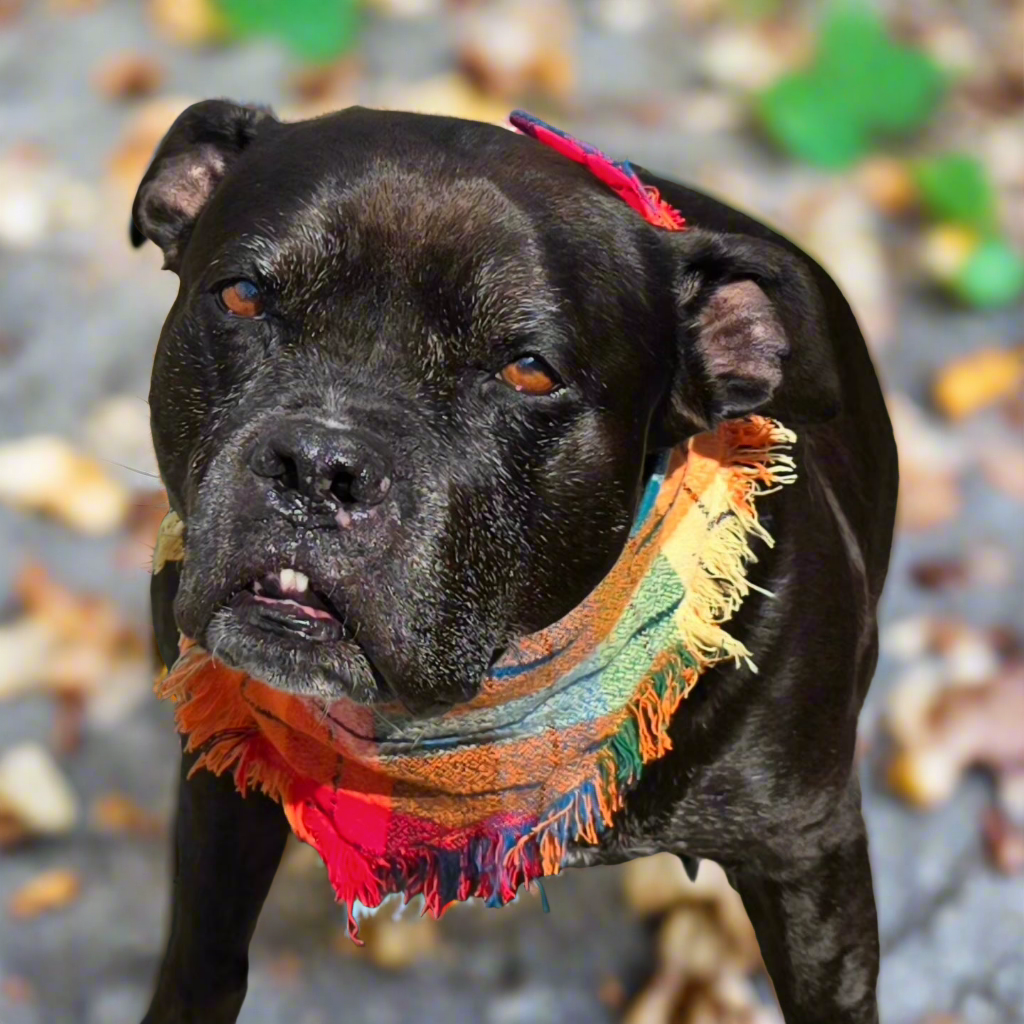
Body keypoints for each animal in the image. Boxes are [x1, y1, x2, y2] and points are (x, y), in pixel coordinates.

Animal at [130, 101, 897, 1024]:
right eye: (242, 296)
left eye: (529, 372)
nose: (318, 466)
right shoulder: (221, 778)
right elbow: (202, 961)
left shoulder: (807, 857)